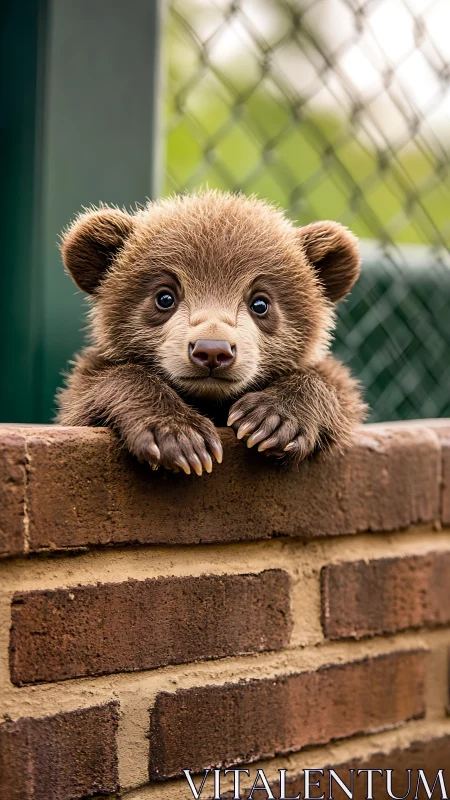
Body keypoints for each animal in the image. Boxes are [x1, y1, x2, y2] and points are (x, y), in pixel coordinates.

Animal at [56, 190, 366, 475]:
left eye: (260, 303)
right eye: (165, 297)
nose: (212, 350)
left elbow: (333, 386)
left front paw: (273, 419)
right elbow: (102, 385)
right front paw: (179, 436)